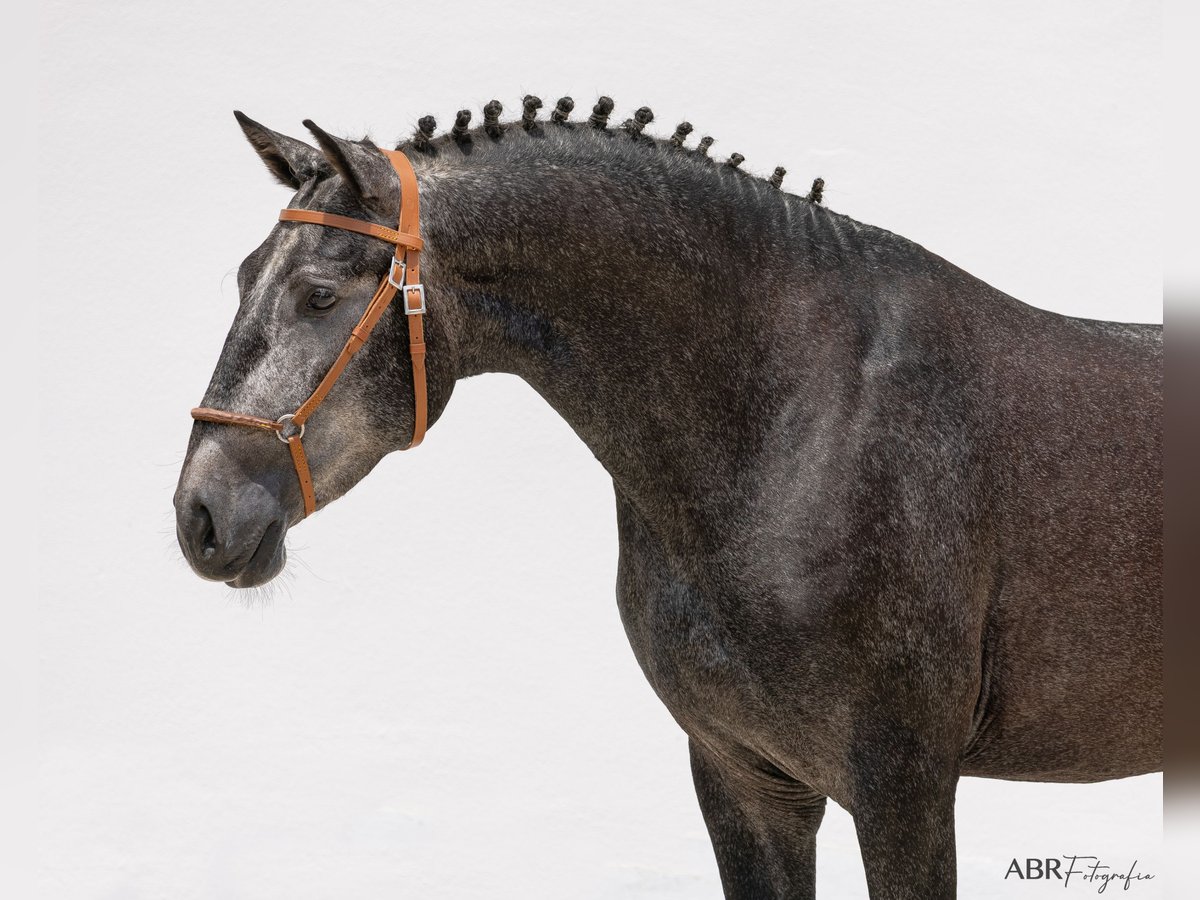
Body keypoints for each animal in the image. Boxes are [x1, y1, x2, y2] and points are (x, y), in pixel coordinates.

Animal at [175, 95, 1161, 897]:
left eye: (318, 295)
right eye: (243, 275)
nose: (202, 516)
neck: (797, 418)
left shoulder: (904, 789)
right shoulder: (745, 781)